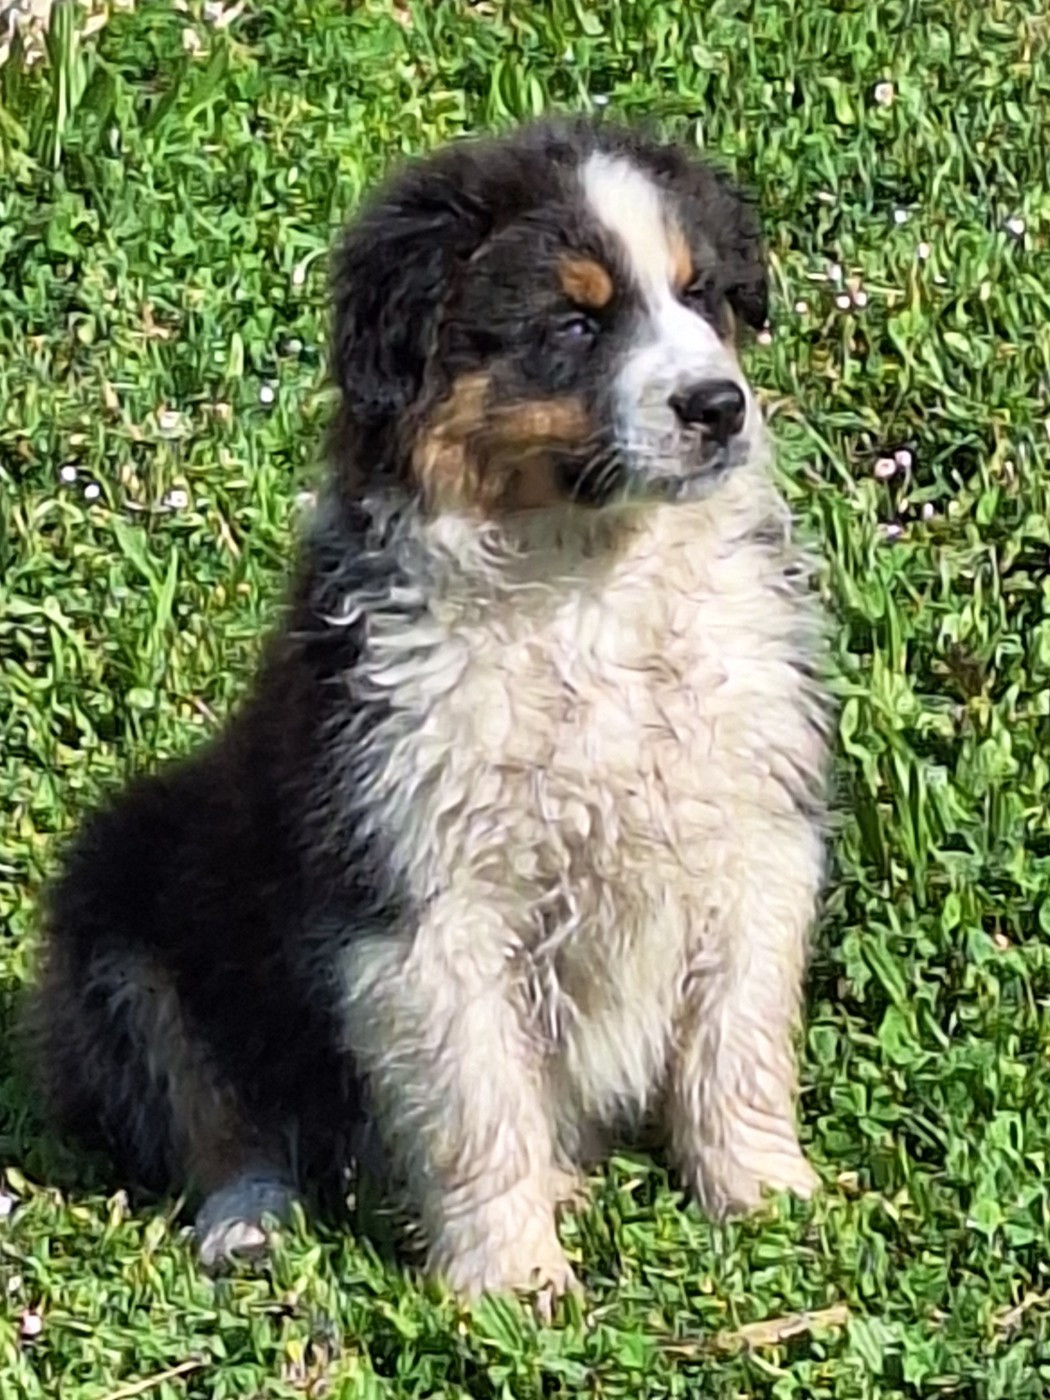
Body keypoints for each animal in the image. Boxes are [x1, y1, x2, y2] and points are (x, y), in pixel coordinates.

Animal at [30, 116, 831, 1300]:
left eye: (703, 296)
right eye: (574, 321)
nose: (718, 405)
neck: (587, 579)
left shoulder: (752, 831)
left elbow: (741, 1039)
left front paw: (773, 1203)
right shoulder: (419, 896)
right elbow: (476, 1096)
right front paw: (514, 1280)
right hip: (120, 908)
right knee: (217, 1117)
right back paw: (250, 1223)